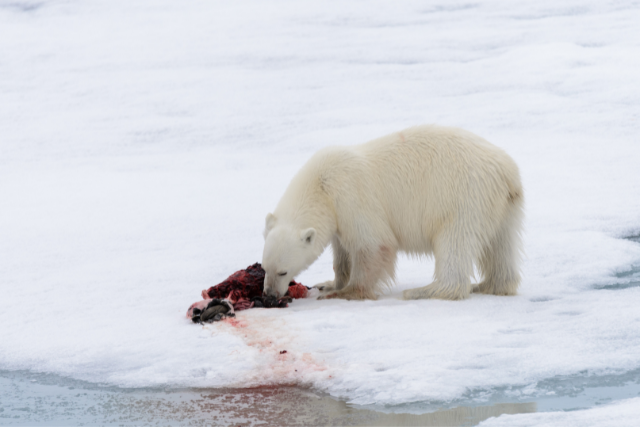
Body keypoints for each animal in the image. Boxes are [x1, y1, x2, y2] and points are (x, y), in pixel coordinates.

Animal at [261, 125, 524, 301]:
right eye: (264, 267)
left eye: (283, 271)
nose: (269, 295)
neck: (322, 186)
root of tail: (507, 171)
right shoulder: (338, 215)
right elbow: (342, 252)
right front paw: (329, 284)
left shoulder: (352, 196)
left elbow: (374, 244)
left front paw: (345, 292)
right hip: (503, 207)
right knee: (501, 246)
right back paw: (490, 285)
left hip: (464, 197)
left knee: (454, 243)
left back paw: (422, 291)